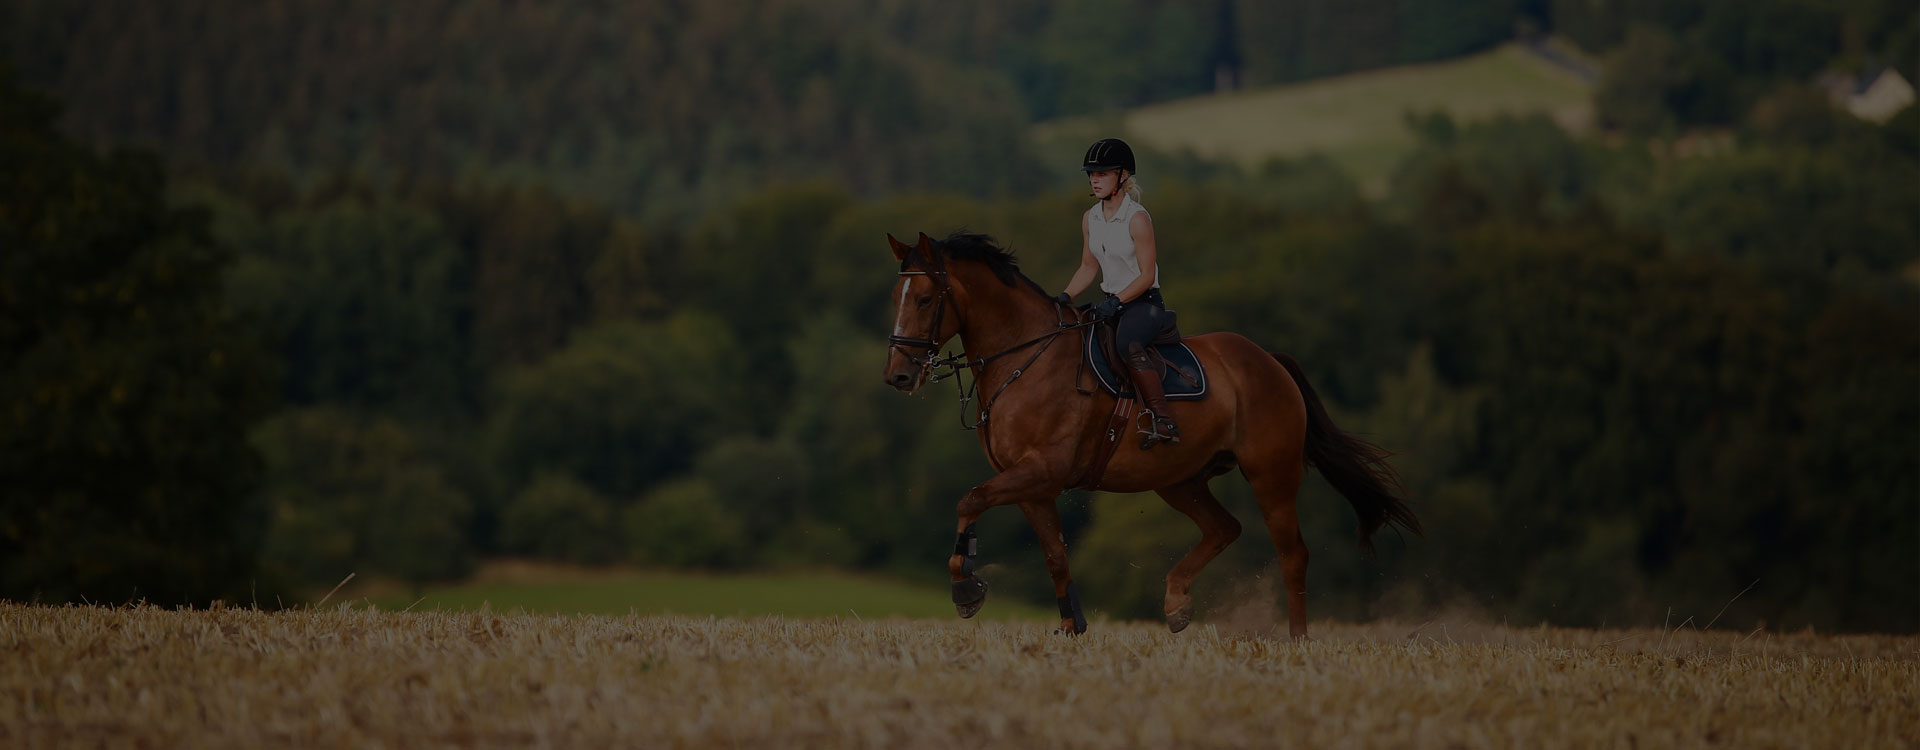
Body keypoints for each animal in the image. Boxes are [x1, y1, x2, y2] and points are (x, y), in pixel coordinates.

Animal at [883, 233, 1428, 640]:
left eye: (926, 299)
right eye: (896, 299)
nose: (898, 377)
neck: (1023, 356)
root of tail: (1270, 361)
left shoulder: (1041, 471)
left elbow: (969, 500)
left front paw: (966, 590)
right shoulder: (1032, 485)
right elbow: (1056, 555)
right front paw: (1072, 627)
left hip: (1271, 474)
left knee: (1292, 553)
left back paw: (1297, 641)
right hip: (1178, 479)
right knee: (1224, 528)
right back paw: (1176, 604)